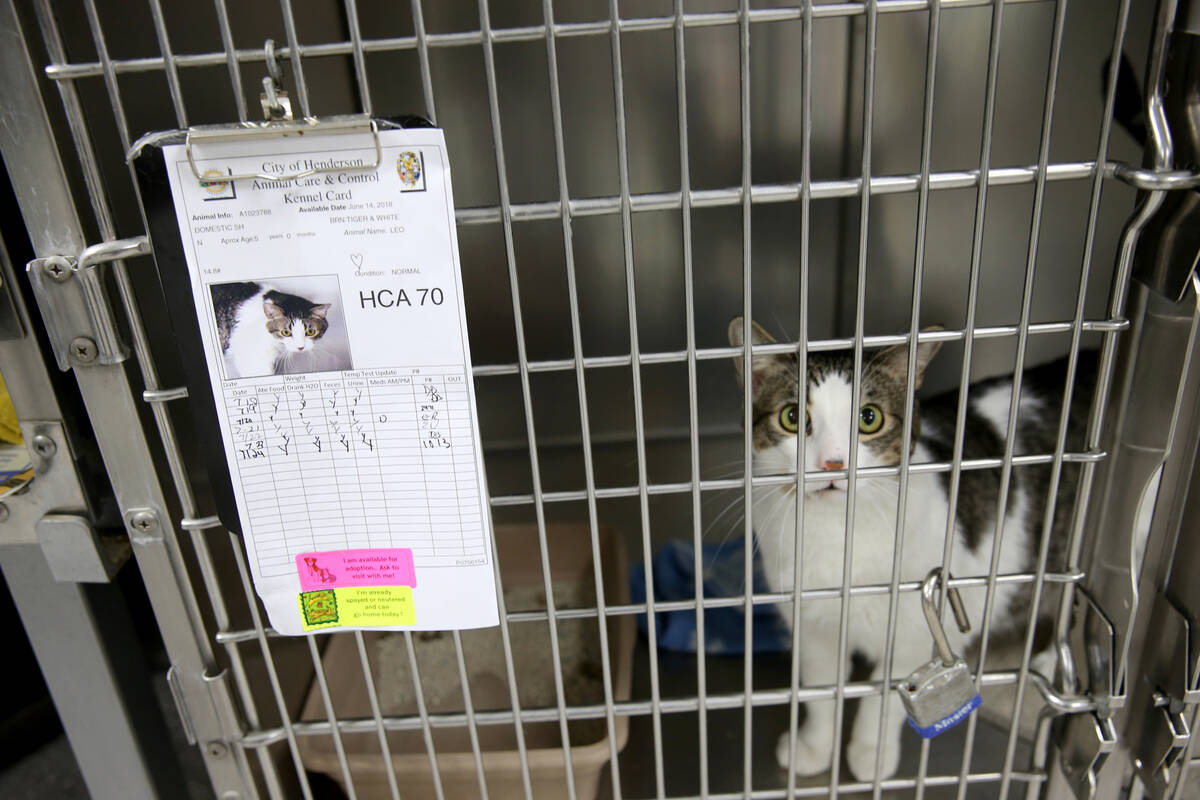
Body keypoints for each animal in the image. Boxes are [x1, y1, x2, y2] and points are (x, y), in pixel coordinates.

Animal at [724, 316, 1094, 782]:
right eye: (793, 417)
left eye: (869, 419)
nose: (832, 463)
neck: (839, 538)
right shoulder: (812, 626)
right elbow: (821, 689)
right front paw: (814, 747)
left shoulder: (919, 630)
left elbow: (881, 697)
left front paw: (870, 753)